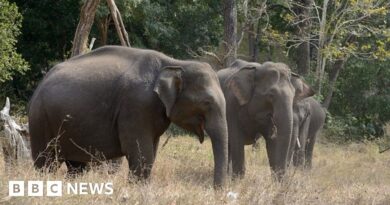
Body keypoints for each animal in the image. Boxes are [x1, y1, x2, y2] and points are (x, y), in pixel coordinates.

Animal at [29, 45, 229, 187]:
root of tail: (40, 83)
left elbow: (151, 152)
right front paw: (138, 189)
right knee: (46, 162)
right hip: (40, 120)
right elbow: (140, 152)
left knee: (76, 166)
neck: (174, 62)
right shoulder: (136, 105)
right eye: (207, 103)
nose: (216, 190)